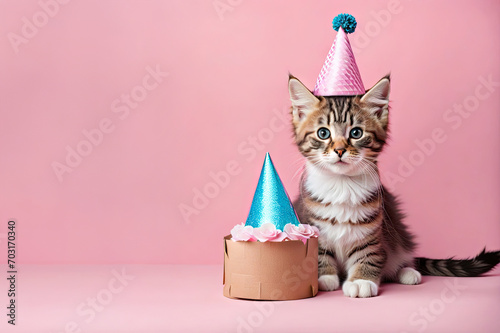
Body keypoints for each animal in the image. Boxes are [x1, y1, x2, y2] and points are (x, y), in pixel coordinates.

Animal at [288, 74, 500, 296]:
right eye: (323, 133)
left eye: (356, 133)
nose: (339, 150)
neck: (342, 183)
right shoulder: (313, 222)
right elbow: (319, 254)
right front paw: (324, 278)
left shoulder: (372, 231)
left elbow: (369, 256)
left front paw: (361, 281)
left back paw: (408, 272)